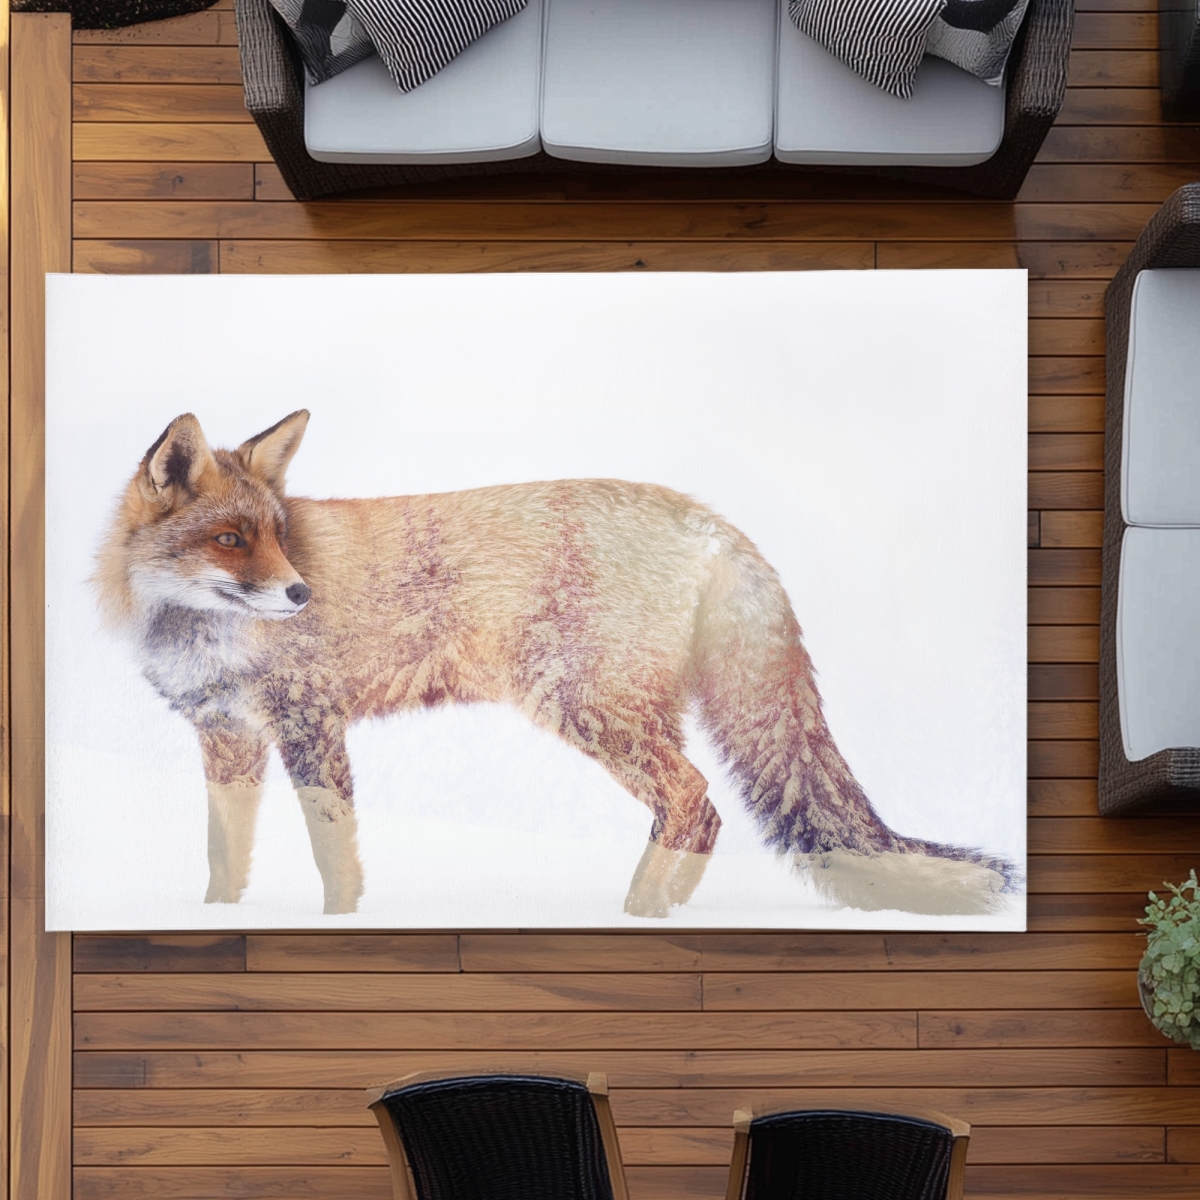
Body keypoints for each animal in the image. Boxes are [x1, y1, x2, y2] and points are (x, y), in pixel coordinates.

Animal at [95, 409, 1017, 918]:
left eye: (279, 536)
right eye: (231, 538)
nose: (298, 594)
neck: (202, 636)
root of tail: (712, 522)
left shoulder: (309, 725)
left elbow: (335, 856)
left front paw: (339, 920)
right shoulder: (227, 738)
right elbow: (224, 858)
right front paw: (214, 916)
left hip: (586, 706)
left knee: (693, 797)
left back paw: (638, 913)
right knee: (705, 813)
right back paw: (671, 910)